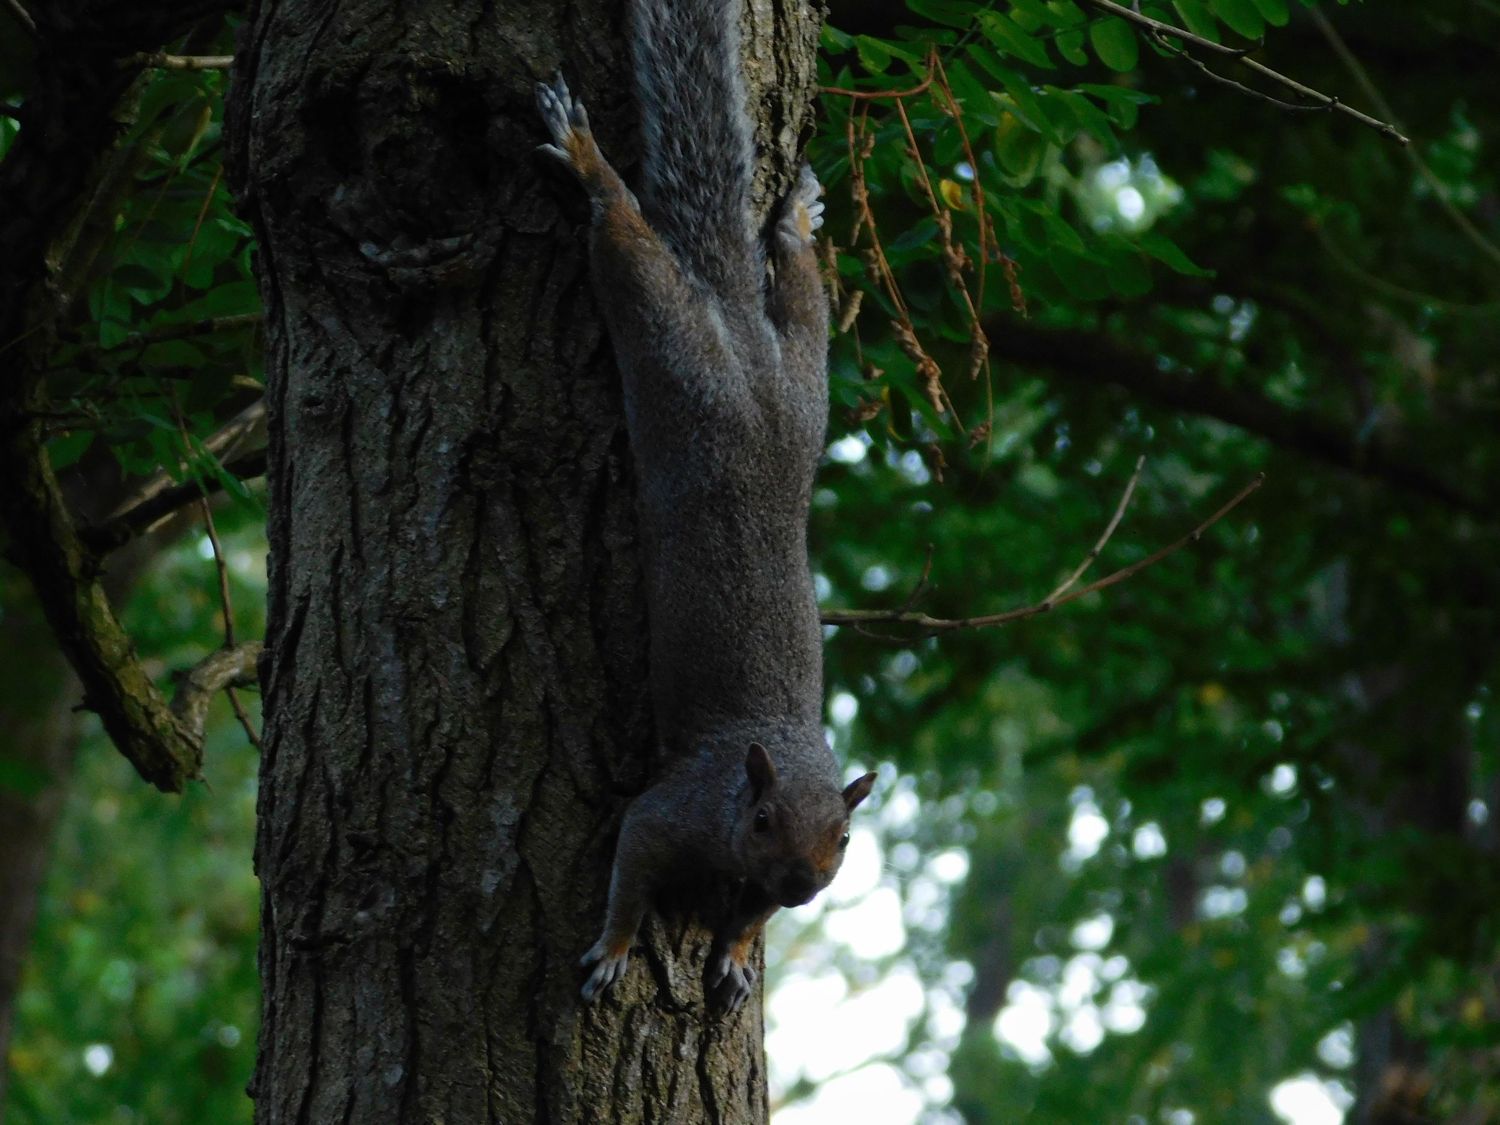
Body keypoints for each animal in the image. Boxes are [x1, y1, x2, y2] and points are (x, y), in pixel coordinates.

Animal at [535, 0, 876, 1011]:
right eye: (760, 818)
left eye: (846, 839)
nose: (803, 883)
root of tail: (735, 334)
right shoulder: (668, 810)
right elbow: (629, 868)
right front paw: (612, 950)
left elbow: (746, 919)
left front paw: (732, 955)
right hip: (670, 345)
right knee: (625, 236)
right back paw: (587, 157)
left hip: (805, 386)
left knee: (800, 292)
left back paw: (795, 219)